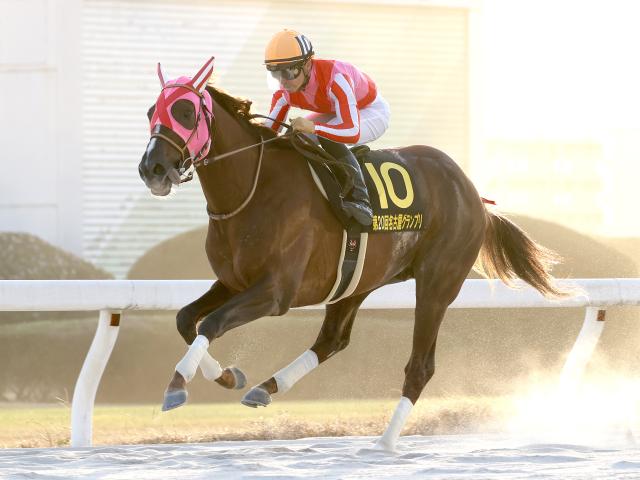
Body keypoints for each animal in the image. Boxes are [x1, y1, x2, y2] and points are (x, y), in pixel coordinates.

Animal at [138, 57, 565, 451]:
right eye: (151, 111)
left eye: (186, 111)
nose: (151, 168)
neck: (253, 191)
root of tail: (472, 192)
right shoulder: (233, 281)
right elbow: (186, 319)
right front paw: (227, 376)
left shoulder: (275, 293)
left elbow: (211, 324)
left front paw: (176, 385)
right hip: (356, 281)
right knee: (332, 340)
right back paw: (265, 387)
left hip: (437, 284)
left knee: (420, 367)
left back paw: (385, 444)